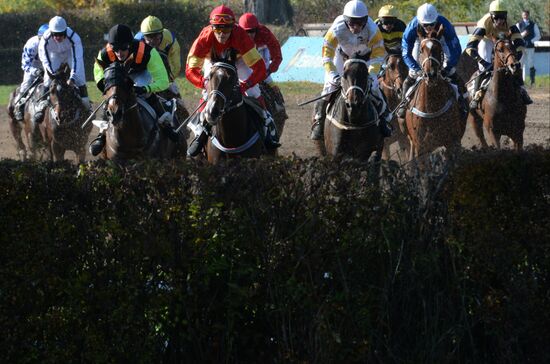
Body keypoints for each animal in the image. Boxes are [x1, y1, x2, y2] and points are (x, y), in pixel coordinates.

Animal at [404, 28, 468, 164]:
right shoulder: (421, 149)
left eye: (438, 49)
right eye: (421, 50)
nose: (431, 74)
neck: (432, 107)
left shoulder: (453, 142)